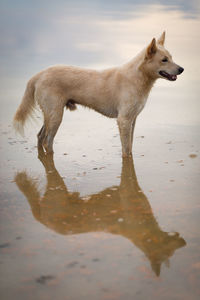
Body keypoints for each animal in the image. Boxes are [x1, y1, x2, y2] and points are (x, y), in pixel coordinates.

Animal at [13, 31, 184, 156]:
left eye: (171, 57)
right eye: (164, 60)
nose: (181, 69)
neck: (137, 77)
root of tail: (39, 75)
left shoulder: (133, 119)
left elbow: (129, 146)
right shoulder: (124, 120)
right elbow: (126, 150)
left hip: (50, 113)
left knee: (40, 136)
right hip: (55, 114)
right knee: (47, 141)